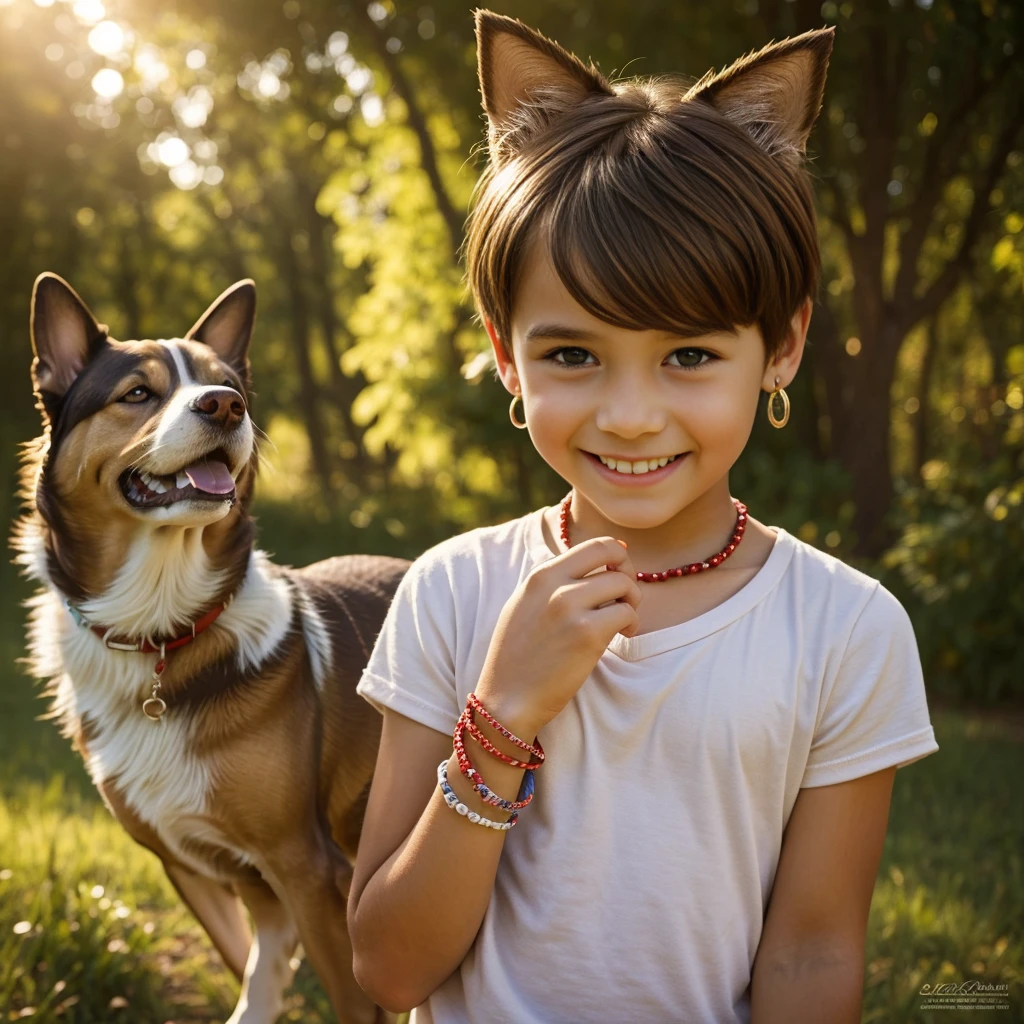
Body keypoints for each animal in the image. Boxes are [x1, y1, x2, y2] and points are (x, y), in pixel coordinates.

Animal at [12, 274, 407, 1024]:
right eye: (138, 393)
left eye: (228, 385)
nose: (225, 406)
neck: (161, 629)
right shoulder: (192, 865)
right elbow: (252, 965)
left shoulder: (308, 868)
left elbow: (351, 994)